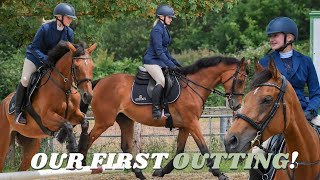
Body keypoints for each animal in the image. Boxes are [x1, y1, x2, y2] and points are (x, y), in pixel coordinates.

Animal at [0, 40, 96, 172]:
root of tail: (3, 103)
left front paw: (80, 151)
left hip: (31, 143)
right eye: (76, 67)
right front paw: (72, 148)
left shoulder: (74, 114)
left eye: (92, 66)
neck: (64, 89)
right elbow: (67, 125)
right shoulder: (47, 118)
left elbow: (84, 123)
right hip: (4, 142)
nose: (88, 96)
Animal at [79, 56, 249, 179]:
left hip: (125, 120)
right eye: (240, 80)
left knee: (125, 146)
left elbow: (180, 150)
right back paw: (80, 164)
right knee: (89, 138)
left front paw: (160, 171)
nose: (236, 105)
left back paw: (140, 174)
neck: (193, 87)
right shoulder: (192, 123)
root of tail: (100, 82)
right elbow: (204, 149)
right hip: (104, 121)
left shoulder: (186, 126)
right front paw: (219, 173)